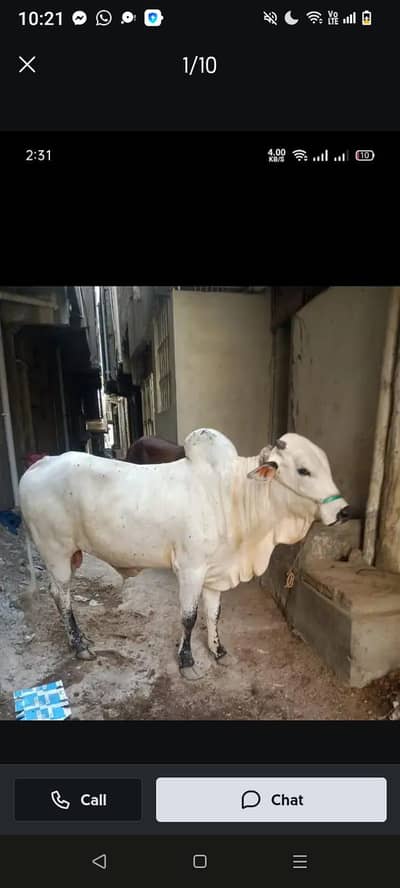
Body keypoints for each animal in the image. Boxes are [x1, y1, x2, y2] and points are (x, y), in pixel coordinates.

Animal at [19, 428, 349, 676]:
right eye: (303, 470)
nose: (343, 511)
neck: (232, 494)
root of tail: (39, 464)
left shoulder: (215, 573)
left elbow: (214, 614)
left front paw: (219, 651)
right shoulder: (191, 569)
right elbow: (189, 617)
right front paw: (187, 661)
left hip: (70, 555)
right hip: (56, 553)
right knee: (61, 596)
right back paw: (79, 646)